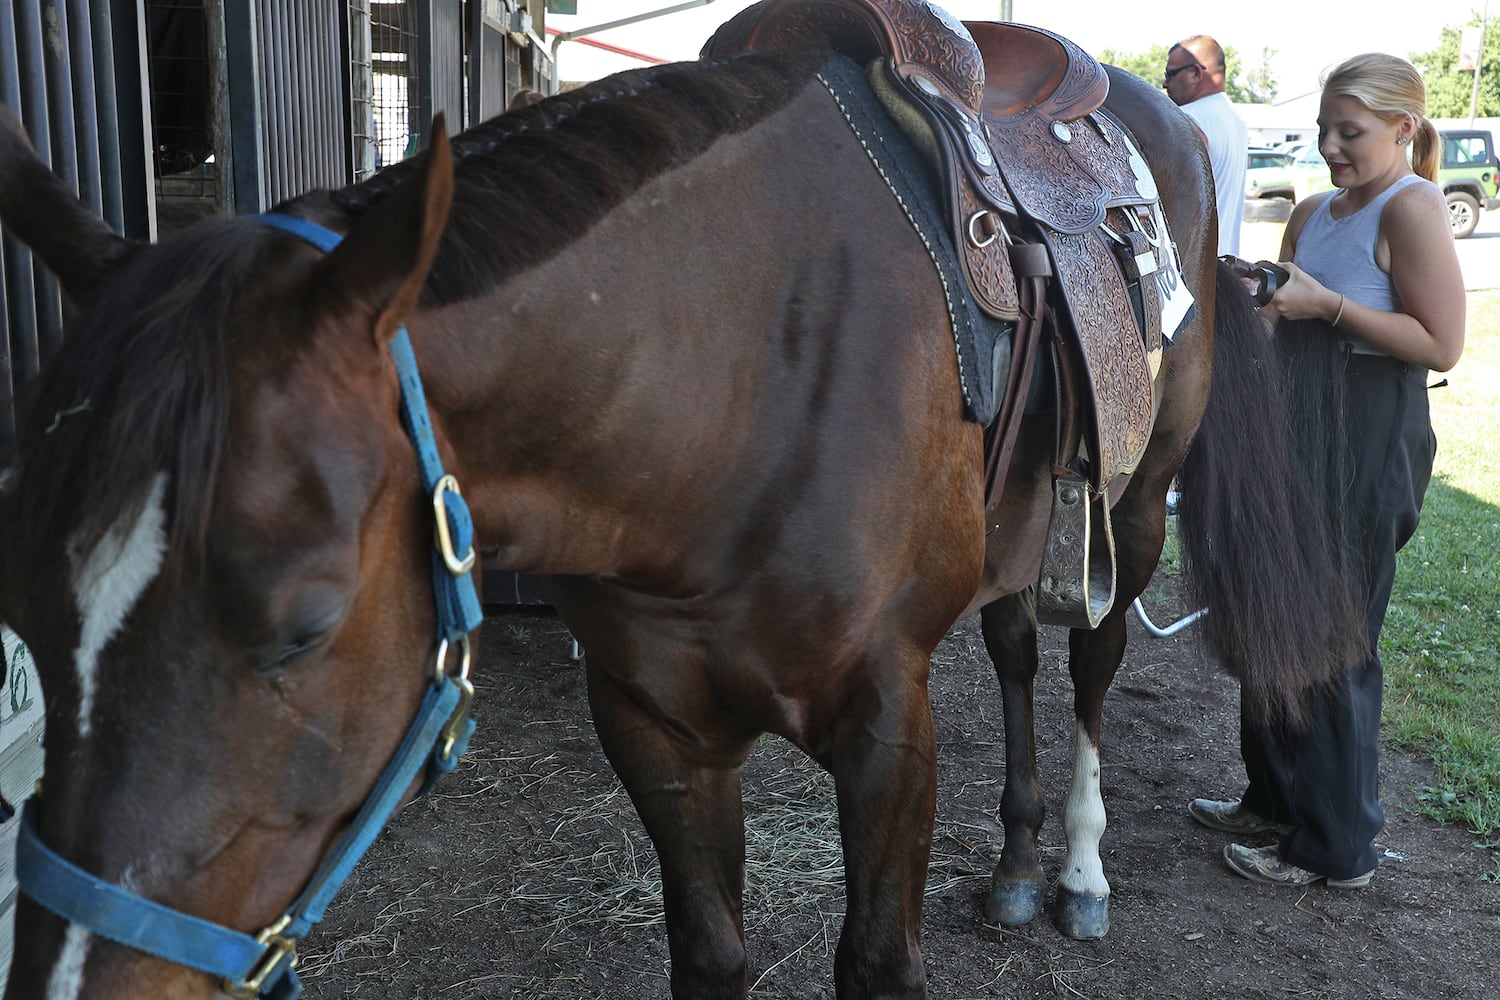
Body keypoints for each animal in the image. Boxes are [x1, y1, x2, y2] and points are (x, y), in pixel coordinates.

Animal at [0, 23, 1362, 1000]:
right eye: (27, 616)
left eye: (303, 626)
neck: (729, 370)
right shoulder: (654, 725)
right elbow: (709, 953)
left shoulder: (889, 725)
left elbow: (876, 961)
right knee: (1020, 647)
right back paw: (1021, 864)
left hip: (1135, 506)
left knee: (1090, 659)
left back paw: (1077, 871)